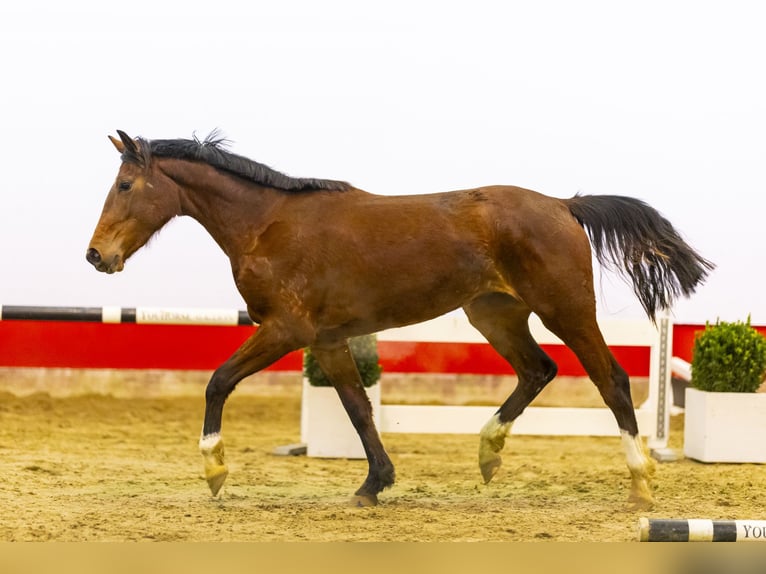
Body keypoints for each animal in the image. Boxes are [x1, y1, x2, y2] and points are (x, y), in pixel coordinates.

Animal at [87, 130, 716, 508]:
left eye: (125, 184)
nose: (97, 256)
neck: (267, 225)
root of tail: (565, 204)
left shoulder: (286, 331)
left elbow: (218, 381)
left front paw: (215, 471)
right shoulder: (328, 340)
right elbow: (358, 409)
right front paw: (374, 484)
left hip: (566, 308)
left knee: (611, 379)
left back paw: (641, 485)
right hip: (495, 314)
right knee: (538, 370)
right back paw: (488, 453)